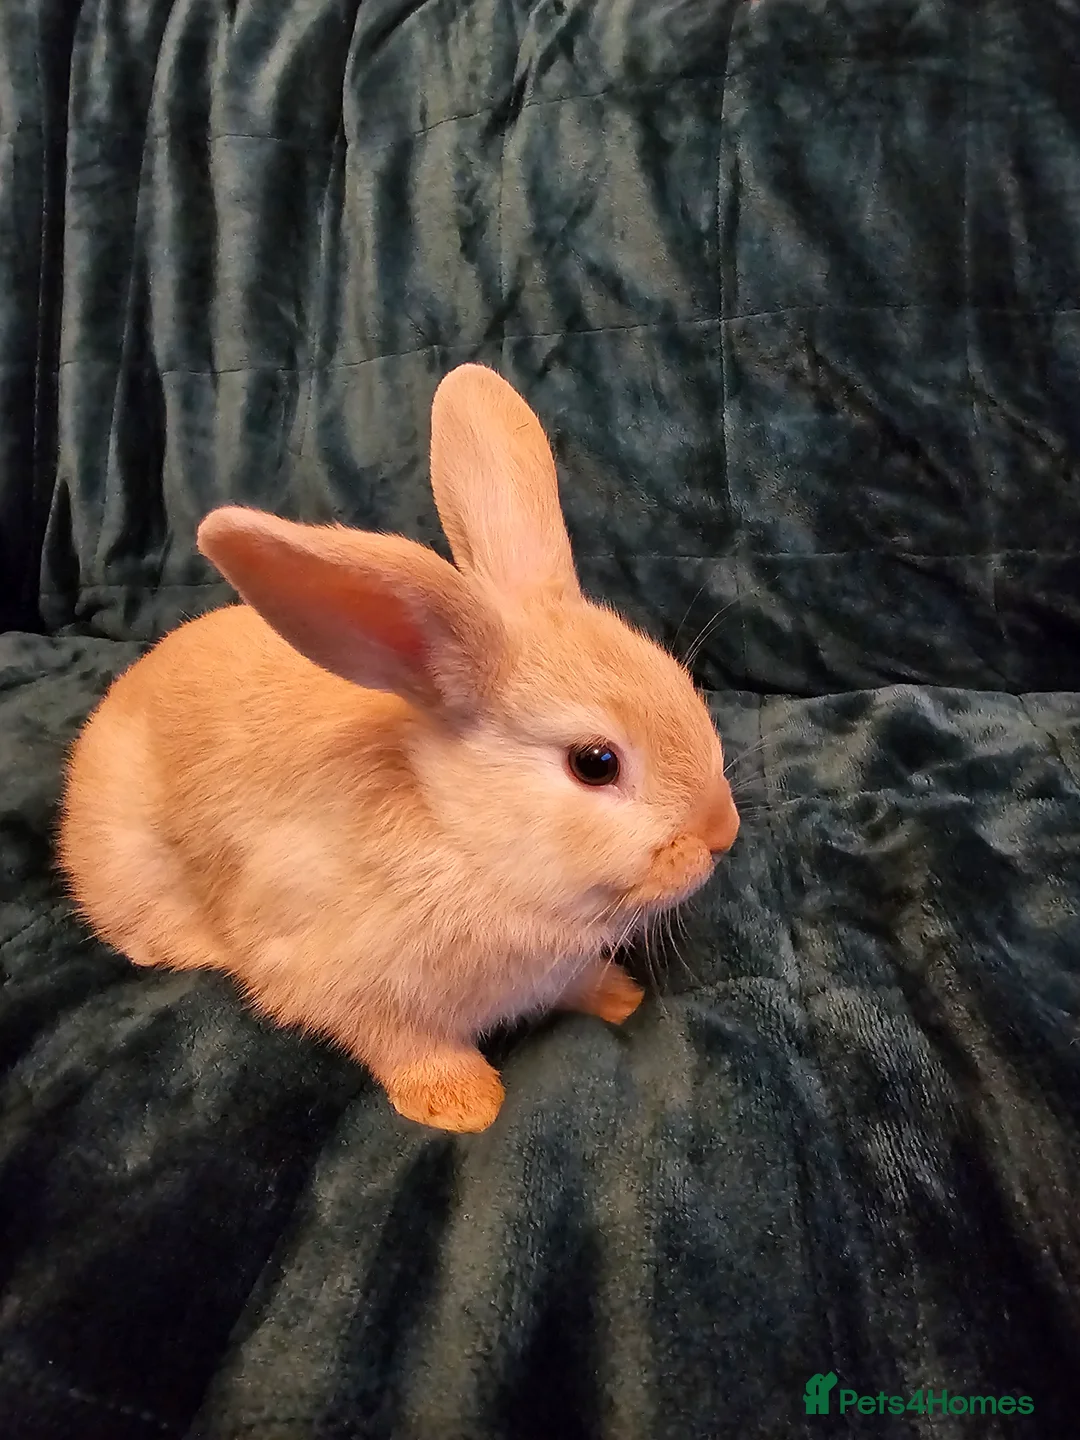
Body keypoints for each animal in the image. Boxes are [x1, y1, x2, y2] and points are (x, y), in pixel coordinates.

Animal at [57, 364, 739, 1133]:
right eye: (595, 764)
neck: (458, 835)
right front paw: (465, 1105)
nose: (722, 832)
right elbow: (404, 1045)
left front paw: (619, 996)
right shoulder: (345, 982)